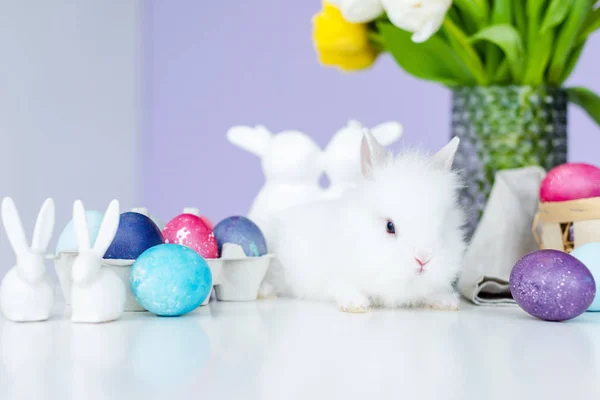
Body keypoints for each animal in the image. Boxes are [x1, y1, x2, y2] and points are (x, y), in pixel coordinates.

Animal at [268, 131, 468, 312]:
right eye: (389, 226)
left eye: (441, 226)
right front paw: (356, 305)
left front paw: (446, 302)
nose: (423, 259)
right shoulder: (335, 274)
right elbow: (342, 285)